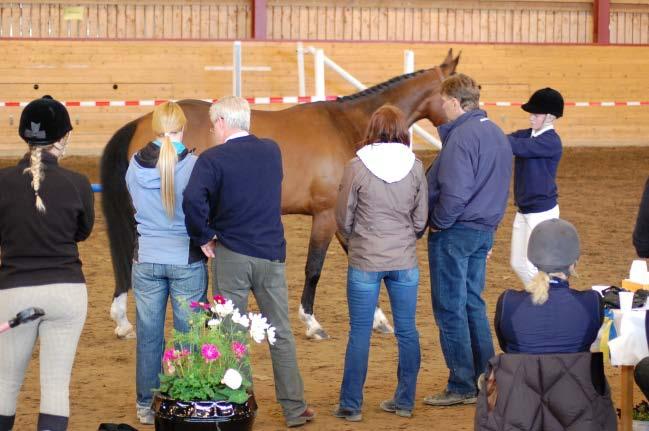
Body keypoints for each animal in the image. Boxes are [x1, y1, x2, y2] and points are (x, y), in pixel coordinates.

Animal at [101, 49, 458, 340]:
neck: (347, 125)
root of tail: (142, 123)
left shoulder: (343, 214)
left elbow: (360, 258)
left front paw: (379, 319)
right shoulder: (325, 215)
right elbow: (314, 268)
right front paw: (311, 322)